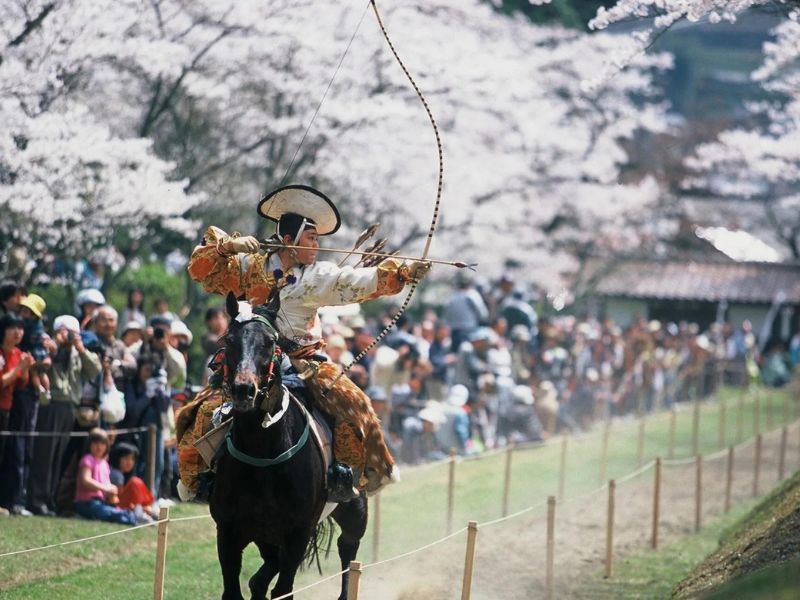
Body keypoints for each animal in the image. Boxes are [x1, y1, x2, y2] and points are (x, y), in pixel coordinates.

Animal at [209, 294, 366, 600]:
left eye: (270, 341)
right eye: (229, 340)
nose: (244, 390)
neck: (263, 453)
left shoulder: (298, 532)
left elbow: (284, 589)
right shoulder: (228, 532)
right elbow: (233, 590)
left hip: (355, 508)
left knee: (348, 546)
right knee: (266, 569)